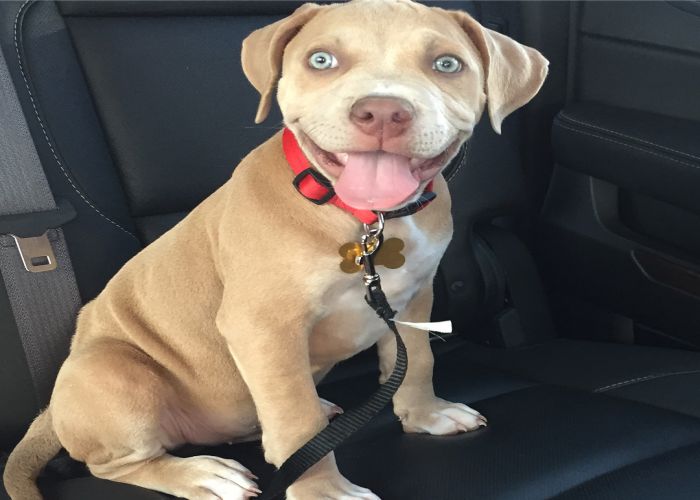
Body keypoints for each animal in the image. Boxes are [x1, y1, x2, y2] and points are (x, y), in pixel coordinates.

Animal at [2, 0, 548, 500]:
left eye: (447, 64)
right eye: (322, 60)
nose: (382, 112)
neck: (363, 220)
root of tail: (51, 409)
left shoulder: (414, 296)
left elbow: (416, 360)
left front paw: (426, 415)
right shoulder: (264, 326)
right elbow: (297, 425)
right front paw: (323, 493)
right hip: (112, 371)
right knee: (120, 463)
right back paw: (202, 474)